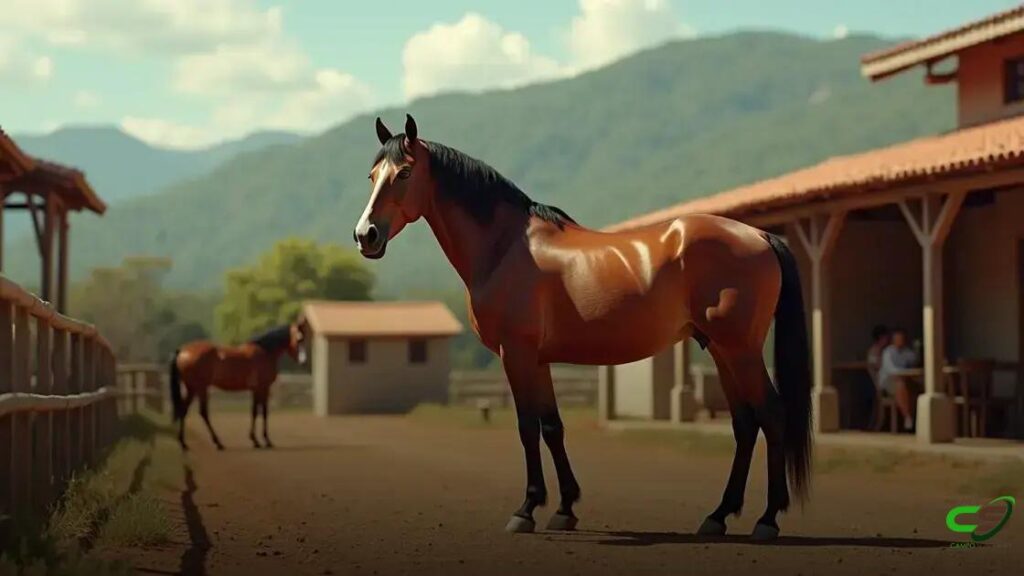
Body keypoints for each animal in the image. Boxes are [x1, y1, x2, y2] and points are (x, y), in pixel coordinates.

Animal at [169, 322, 307, 450]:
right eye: (299, 339)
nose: (303, 361)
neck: (265, 352)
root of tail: (182, 351)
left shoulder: (256, 390)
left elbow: (255, 412)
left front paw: (256, 440)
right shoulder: (263, 388)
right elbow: (262, 412)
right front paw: (265, 441)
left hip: (191, 388)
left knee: (184, 410)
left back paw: (183, 443)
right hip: (201, 388)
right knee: (203, 412)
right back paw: (218, 443)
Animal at [353, 114, 812, 541]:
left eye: (404, 173)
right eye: (373, 176)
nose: (365, 235)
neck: (505, 248)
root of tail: (760, 236)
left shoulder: (515, 354)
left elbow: (527, 428)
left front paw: (526, 510)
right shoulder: (537, 360)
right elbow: (552, 427)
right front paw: (564, 509)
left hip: (739, 350)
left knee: (772, 414)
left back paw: (767, 520)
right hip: (720, 349)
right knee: (745, 424)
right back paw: (718, 516)